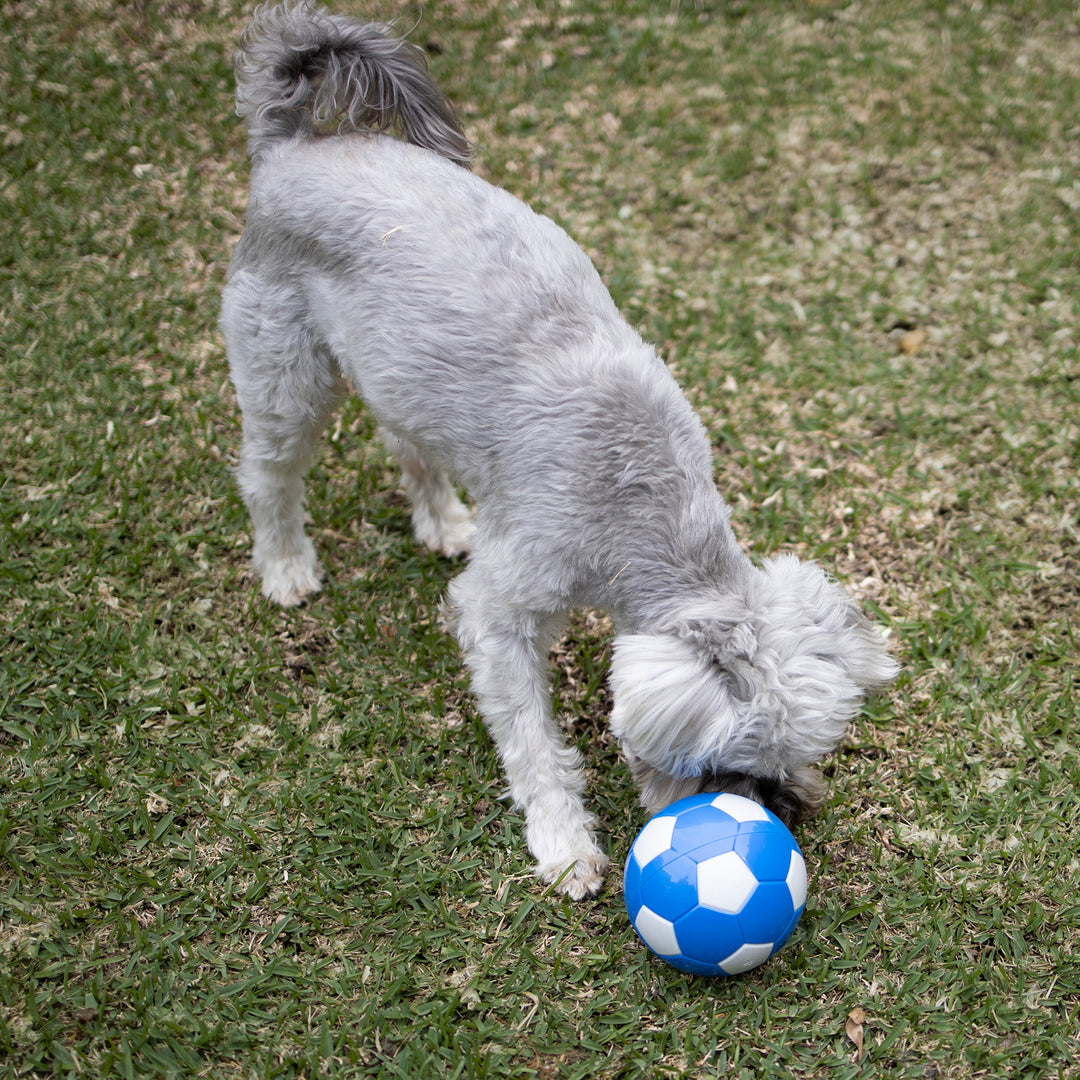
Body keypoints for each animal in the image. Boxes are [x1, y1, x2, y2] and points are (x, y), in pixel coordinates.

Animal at [219, 2, 894, 902]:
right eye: (724, 765)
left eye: (798, 755)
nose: (781, 806)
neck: (635, 499)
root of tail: (290, 143)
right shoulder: (500, 609)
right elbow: (534, 742)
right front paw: (565, 843)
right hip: (285, 377)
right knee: (269, 474)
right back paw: (286, 564)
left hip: (400, 371)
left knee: (407, 444)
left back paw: (442, 520)